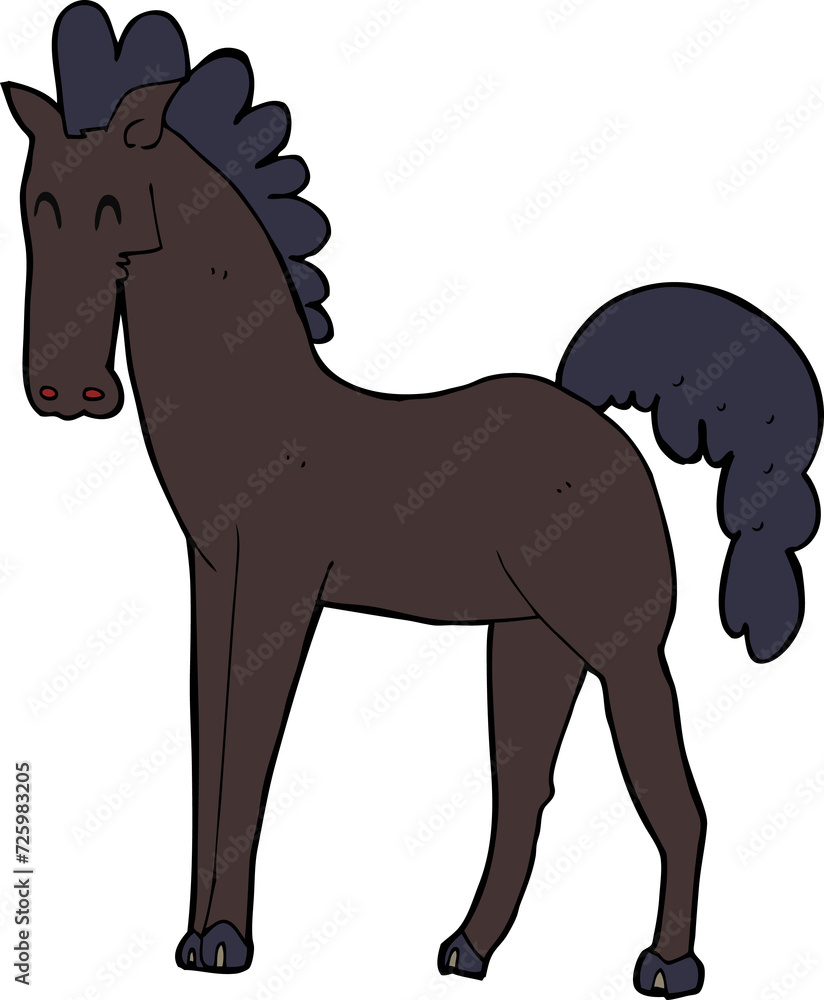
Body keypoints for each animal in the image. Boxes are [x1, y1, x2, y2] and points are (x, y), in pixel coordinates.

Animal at [4, 3, 821, 996]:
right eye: (35, 210)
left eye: (115, 213)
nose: (61, 392)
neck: (256, 407)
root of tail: (601, 425)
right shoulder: (214, 586)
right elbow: (209, 755)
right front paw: (193, 942)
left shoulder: (281, 593)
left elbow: (251, 756)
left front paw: (228, 942)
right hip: (529, 642)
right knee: (526, 793)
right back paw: (468, 950)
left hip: (621, 648)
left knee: (674, 799)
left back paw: (667, 965)